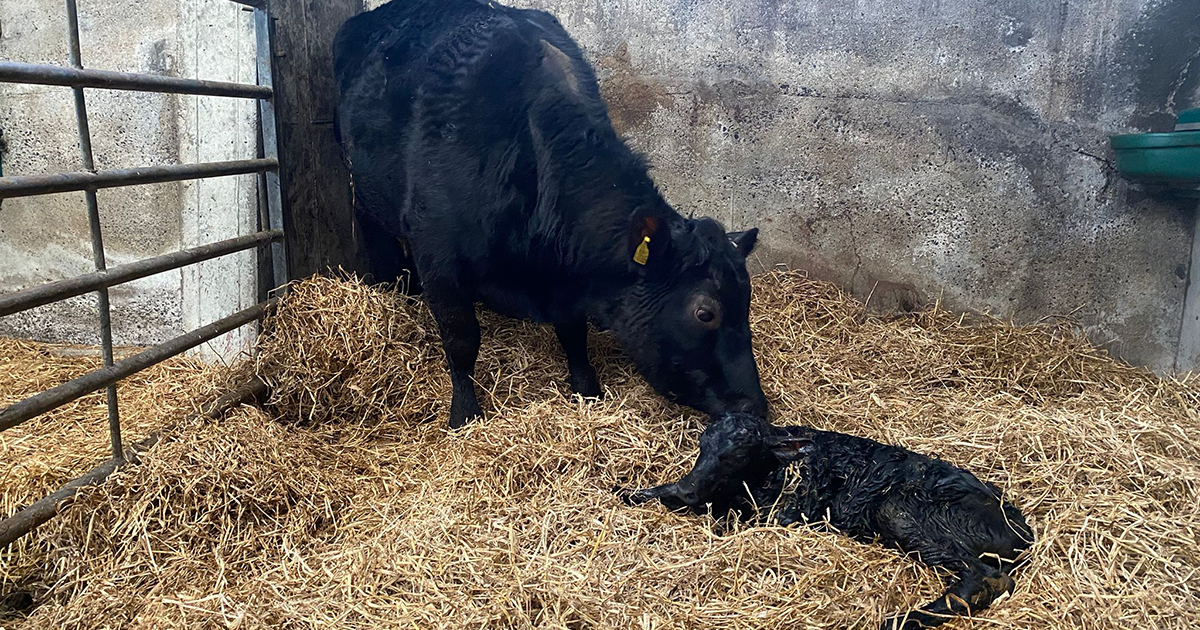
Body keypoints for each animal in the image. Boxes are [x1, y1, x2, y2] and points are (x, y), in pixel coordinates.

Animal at [332, 0, 768, 428]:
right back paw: (393, 283)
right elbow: (461, 338)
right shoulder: (437, 252)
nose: (755, 406)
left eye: (747, 300)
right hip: (361, 181)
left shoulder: (567, 281)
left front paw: (587, 390)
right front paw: (464, 414)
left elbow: (574, 334)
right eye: (705, 313)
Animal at [622, 413, 1034, 630]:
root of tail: (1023, 531)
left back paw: (901, 619)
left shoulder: (786, 514)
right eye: (702, 447)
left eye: (738, 455)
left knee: (987, 577)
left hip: (904, 510)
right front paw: (630, 492)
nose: (689, 491)